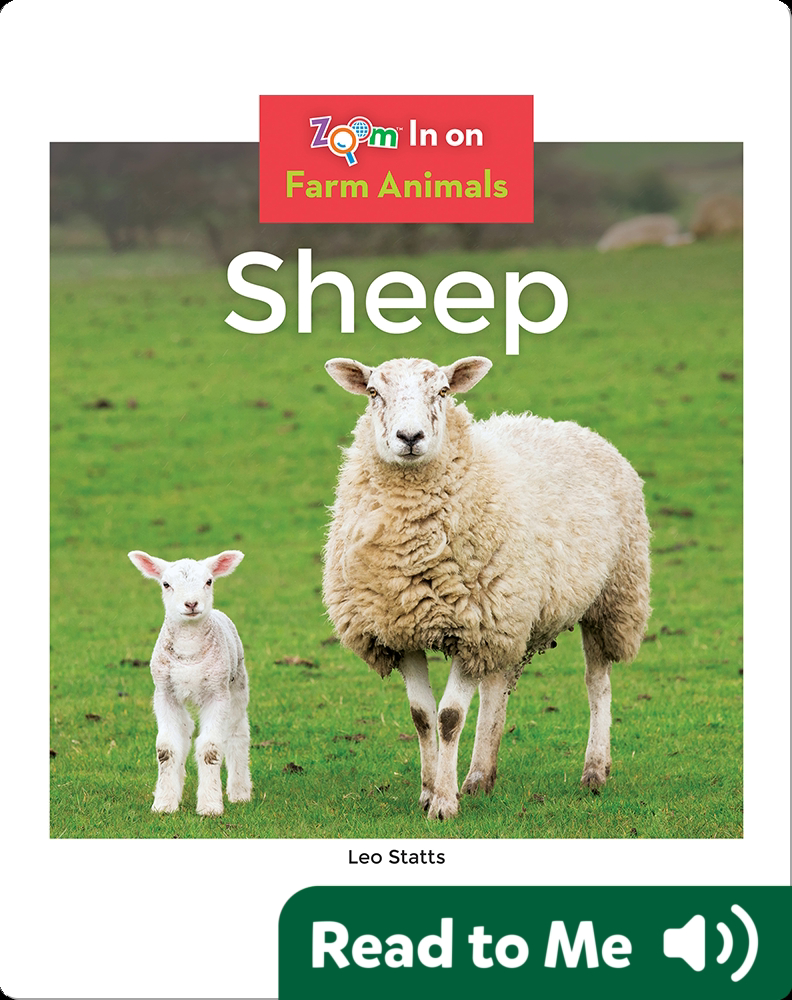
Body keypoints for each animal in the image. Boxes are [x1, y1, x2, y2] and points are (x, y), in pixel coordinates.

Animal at [127, 549, 251, 816]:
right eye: (166, 584)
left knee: (236, 733)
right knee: (185, 731)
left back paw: (239, 792)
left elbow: (210, 749)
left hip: (237, 683)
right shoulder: (164, 693)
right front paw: (164, 803)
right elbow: (166, 748)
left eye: (209, 581)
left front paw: (210, 806)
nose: (192, 604)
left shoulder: (217, 693)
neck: (189, 648)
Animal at [323, 356, 650, 820]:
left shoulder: (471, 628)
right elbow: (422, 716)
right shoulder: (401, 630)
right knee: (498, 685)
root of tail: (570, 426)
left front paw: (443, 803)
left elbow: (449, 717)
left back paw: (594, 771)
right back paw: (480, 776)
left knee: (596, 683)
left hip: (611, 596)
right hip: (511, 614)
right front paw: (428, 791)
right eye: (373, 392)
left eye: (443, 391)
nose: (410, 438)